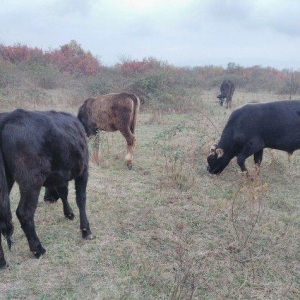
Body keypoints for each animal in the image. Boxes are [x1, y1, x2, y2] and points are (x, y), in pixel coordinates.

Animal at [0, 109, 94, 268]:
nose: (47, 198)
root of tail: (9, 117)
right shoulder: (83, 170)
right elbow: (81, 199)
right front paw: (86, 230)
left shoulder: (61, 174)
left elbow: (63, 192)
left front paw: (68, 213)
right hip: (32, 179)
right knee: (24, 213)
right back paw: (38, 249)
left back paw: (2, 261)